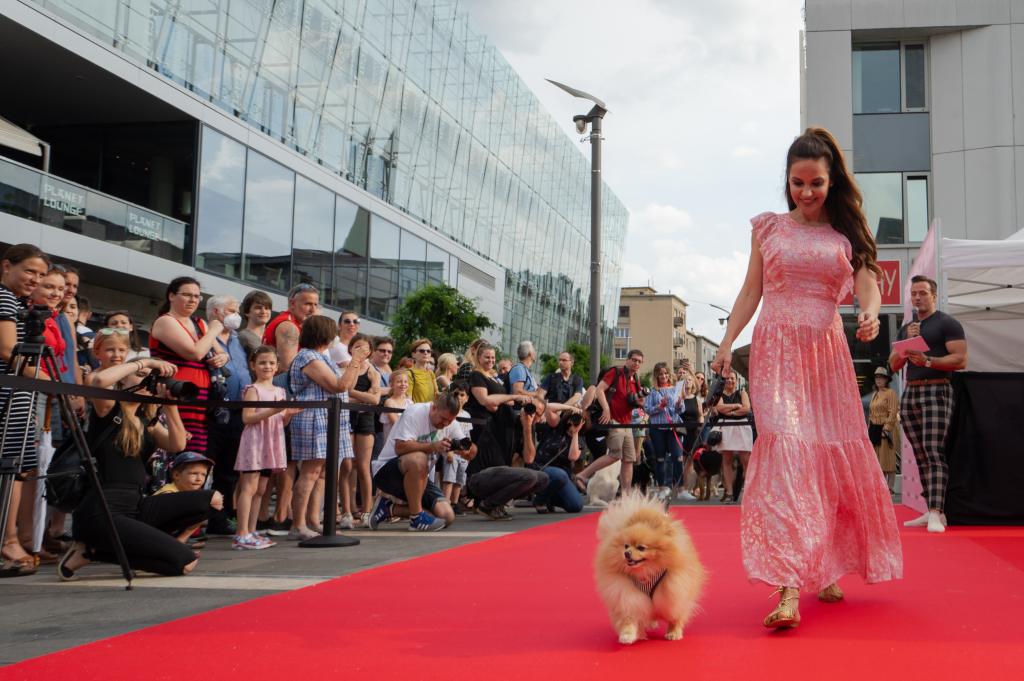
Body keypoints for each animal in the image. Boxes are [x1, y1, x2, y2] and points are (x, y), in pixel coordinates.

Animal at [593, 489, 704, 643]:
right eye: (626, 546)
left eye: (641, 548)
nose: (626, 553)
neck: (645, 572)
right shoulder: (627, 594)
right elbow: (629, 616)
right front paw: (627, 635)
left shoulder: (673, 591)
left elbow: (675, 615)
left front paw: (674, 632)